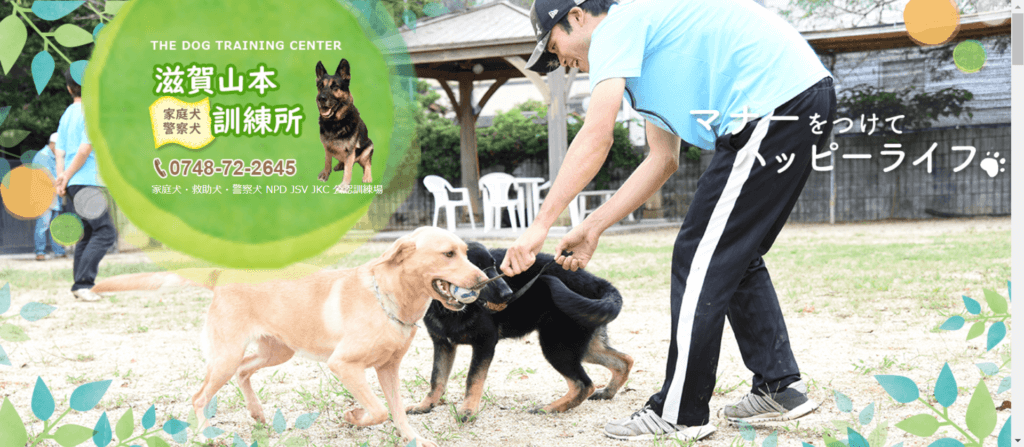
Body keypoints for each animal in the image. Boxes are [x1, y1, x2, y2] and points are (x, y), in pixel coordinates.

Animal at [315, 58, 376, 188]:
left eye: (335, 87)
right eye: (320, 86)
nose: (321, 98)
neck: (334, 122)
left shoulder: (350, 151)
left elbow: (348, 170)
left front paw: (343, 186)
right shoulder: (327, 148)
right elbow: (327, 162)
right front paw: (325, 174)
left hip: (368, 147)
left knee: (367, 164)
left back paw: (367, 176)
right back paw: (339, 165)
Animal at [405, 242, 630, 419]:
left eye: (494, 266)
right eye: (477, 267)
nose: (508, 294)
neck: (447, 308)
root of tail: (598, 283)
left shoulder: (484, 344)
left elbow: (473, 379)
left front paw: (468, 411)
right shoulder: (443, 344)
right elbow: (437, 378)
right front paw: (426, 405)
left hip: (556, 347)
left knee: (584, 384)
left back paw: (549, 409)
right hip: (582, 346)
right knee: (624, 361)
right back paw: (607, 393)